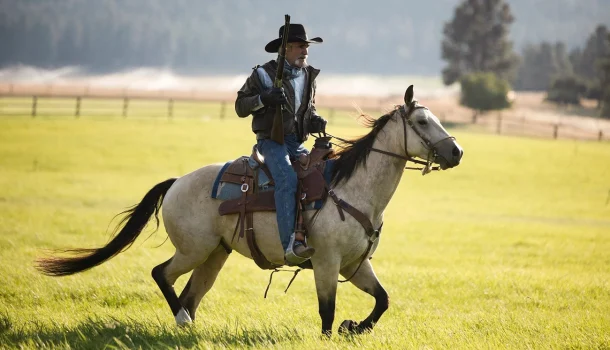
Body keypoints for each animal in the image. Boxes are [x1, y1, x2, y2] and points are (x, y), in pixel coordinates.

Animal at [36, 85, 460, 336]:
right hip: (193, 249)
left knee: (190, 292)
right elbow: (326, 313)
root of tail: (176, 183)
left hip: (214, 255)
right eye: (422, 120)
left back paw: (188, 327)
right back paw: (182, 320)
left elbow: (382, 300)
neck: (351, 189)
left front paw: (354, 327)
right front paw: (340, 328)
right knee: (162, 275)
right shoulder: (326, 263)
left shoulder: (355, 264)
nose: (456, 152)